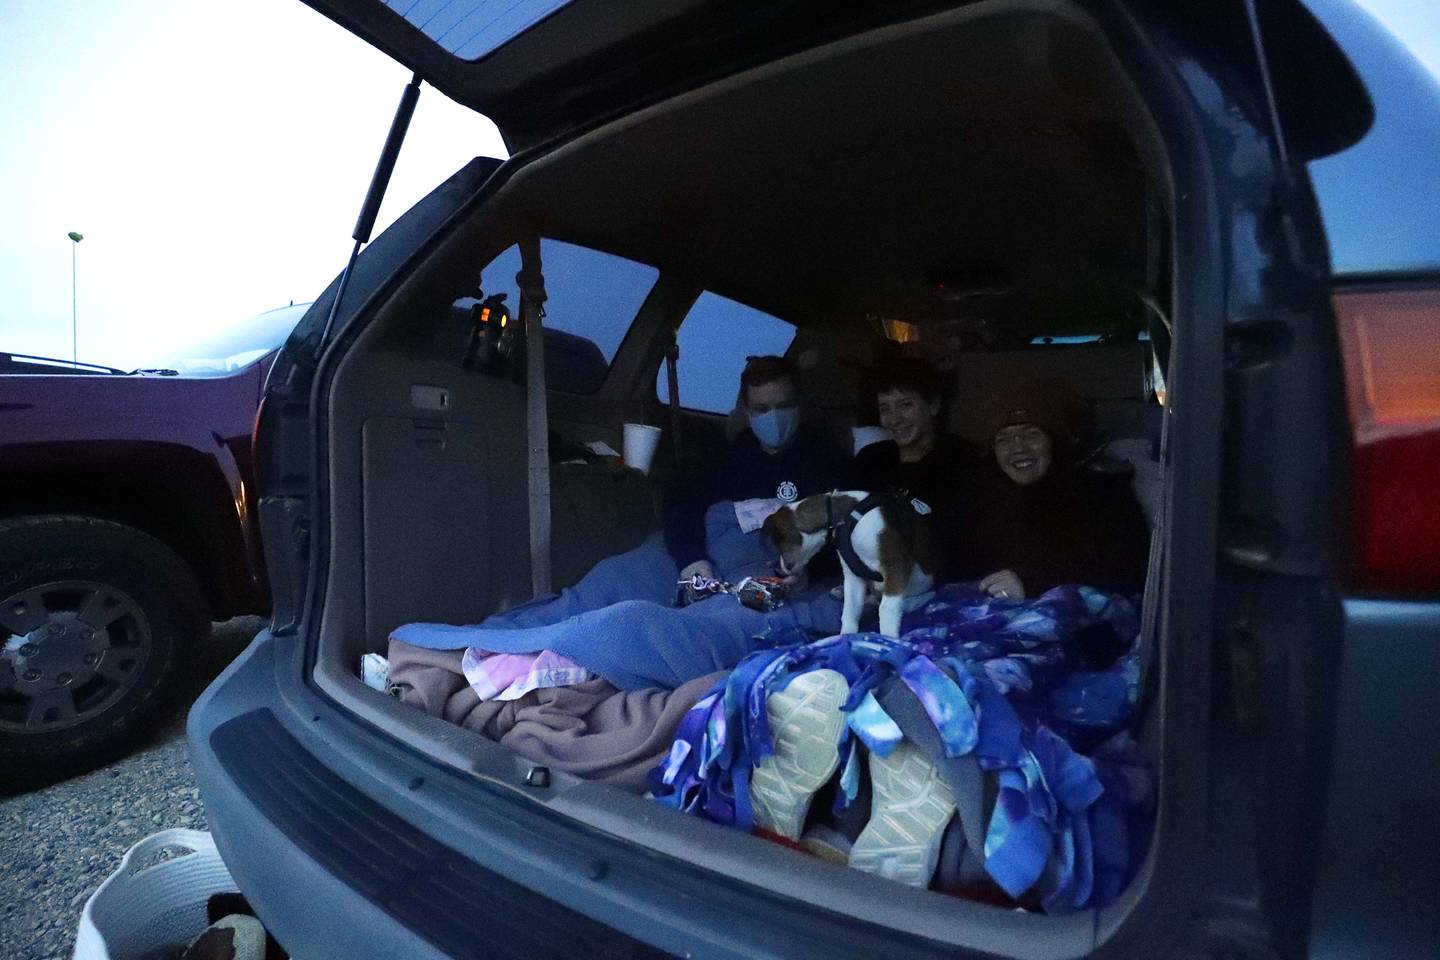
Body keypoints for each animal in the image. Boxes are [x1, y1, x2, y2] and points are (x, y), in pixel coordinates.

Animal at [760, 495, 938, 639]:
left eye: (780, 547)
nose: (778, 571)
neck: (846, 518)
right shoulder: (853, 575)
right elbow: (850, 611)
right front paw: (846, 637)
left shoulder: (895, 567)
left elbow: (886, 609)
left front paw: (889, 638)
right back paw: (841, 591)